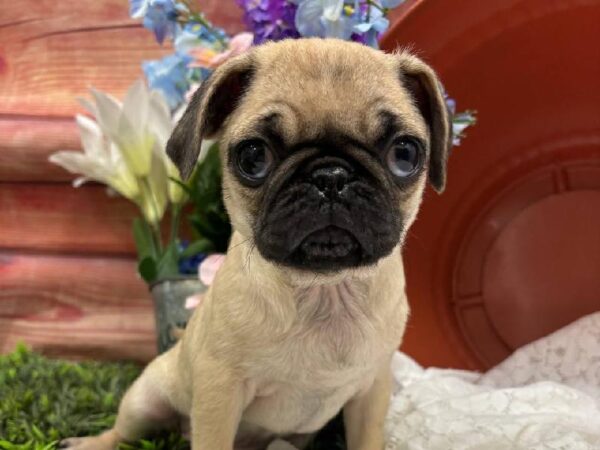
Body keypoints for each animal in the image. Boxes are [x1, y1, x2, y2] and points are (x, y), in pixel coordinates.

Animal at [63, 38, 452, 450]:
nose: (331, 175)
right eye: (253, 157)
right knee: (122, 430)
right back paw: (90, 442)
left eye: (404, 153)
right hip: (145, 400)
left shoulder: (372, 391)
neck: (325, 292)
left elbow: (367, 440)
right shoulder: (219, 392)